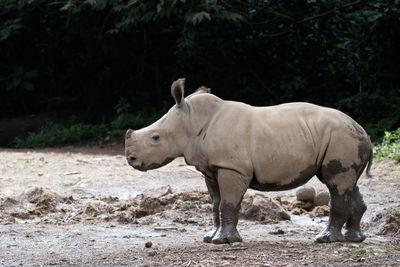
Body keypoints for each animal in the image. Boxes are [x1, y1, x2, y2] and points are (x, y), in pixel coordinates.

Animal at [125, 79, 372, 245]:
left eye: (155, 137)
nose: (130, 159)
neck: (192, 121)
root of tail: (364, 131)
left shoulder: (232, 167)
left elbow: (228, 203)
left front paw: (224, 241)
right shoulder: (211, 169)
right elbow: (215, 204)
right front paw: (210, 237)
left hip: (342, 137)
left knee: (335, 184)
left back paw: (325, 239)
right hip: (347, 139)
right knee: (348, 183)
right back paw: (353, 239)